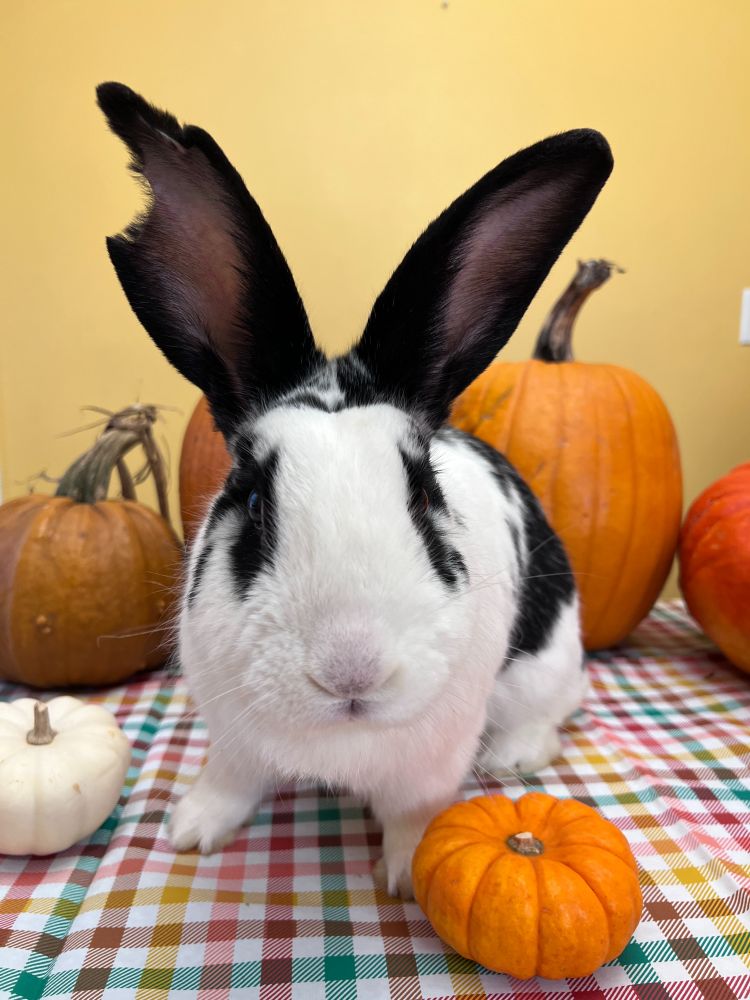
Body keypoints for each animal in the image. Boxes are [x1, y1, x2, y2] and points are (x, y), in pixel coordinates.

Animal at [97, 82, 612, 898]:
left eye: (425, 495)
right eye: (252, 499)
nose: (352, 669)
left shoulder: (432, 760)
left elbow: (414, 811)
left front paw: (405, 874)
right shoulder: (232, 735)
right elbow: (232, 779)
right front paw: (194, 831)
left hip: (551, 662)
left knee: (555, 711)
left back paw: (512, 756)